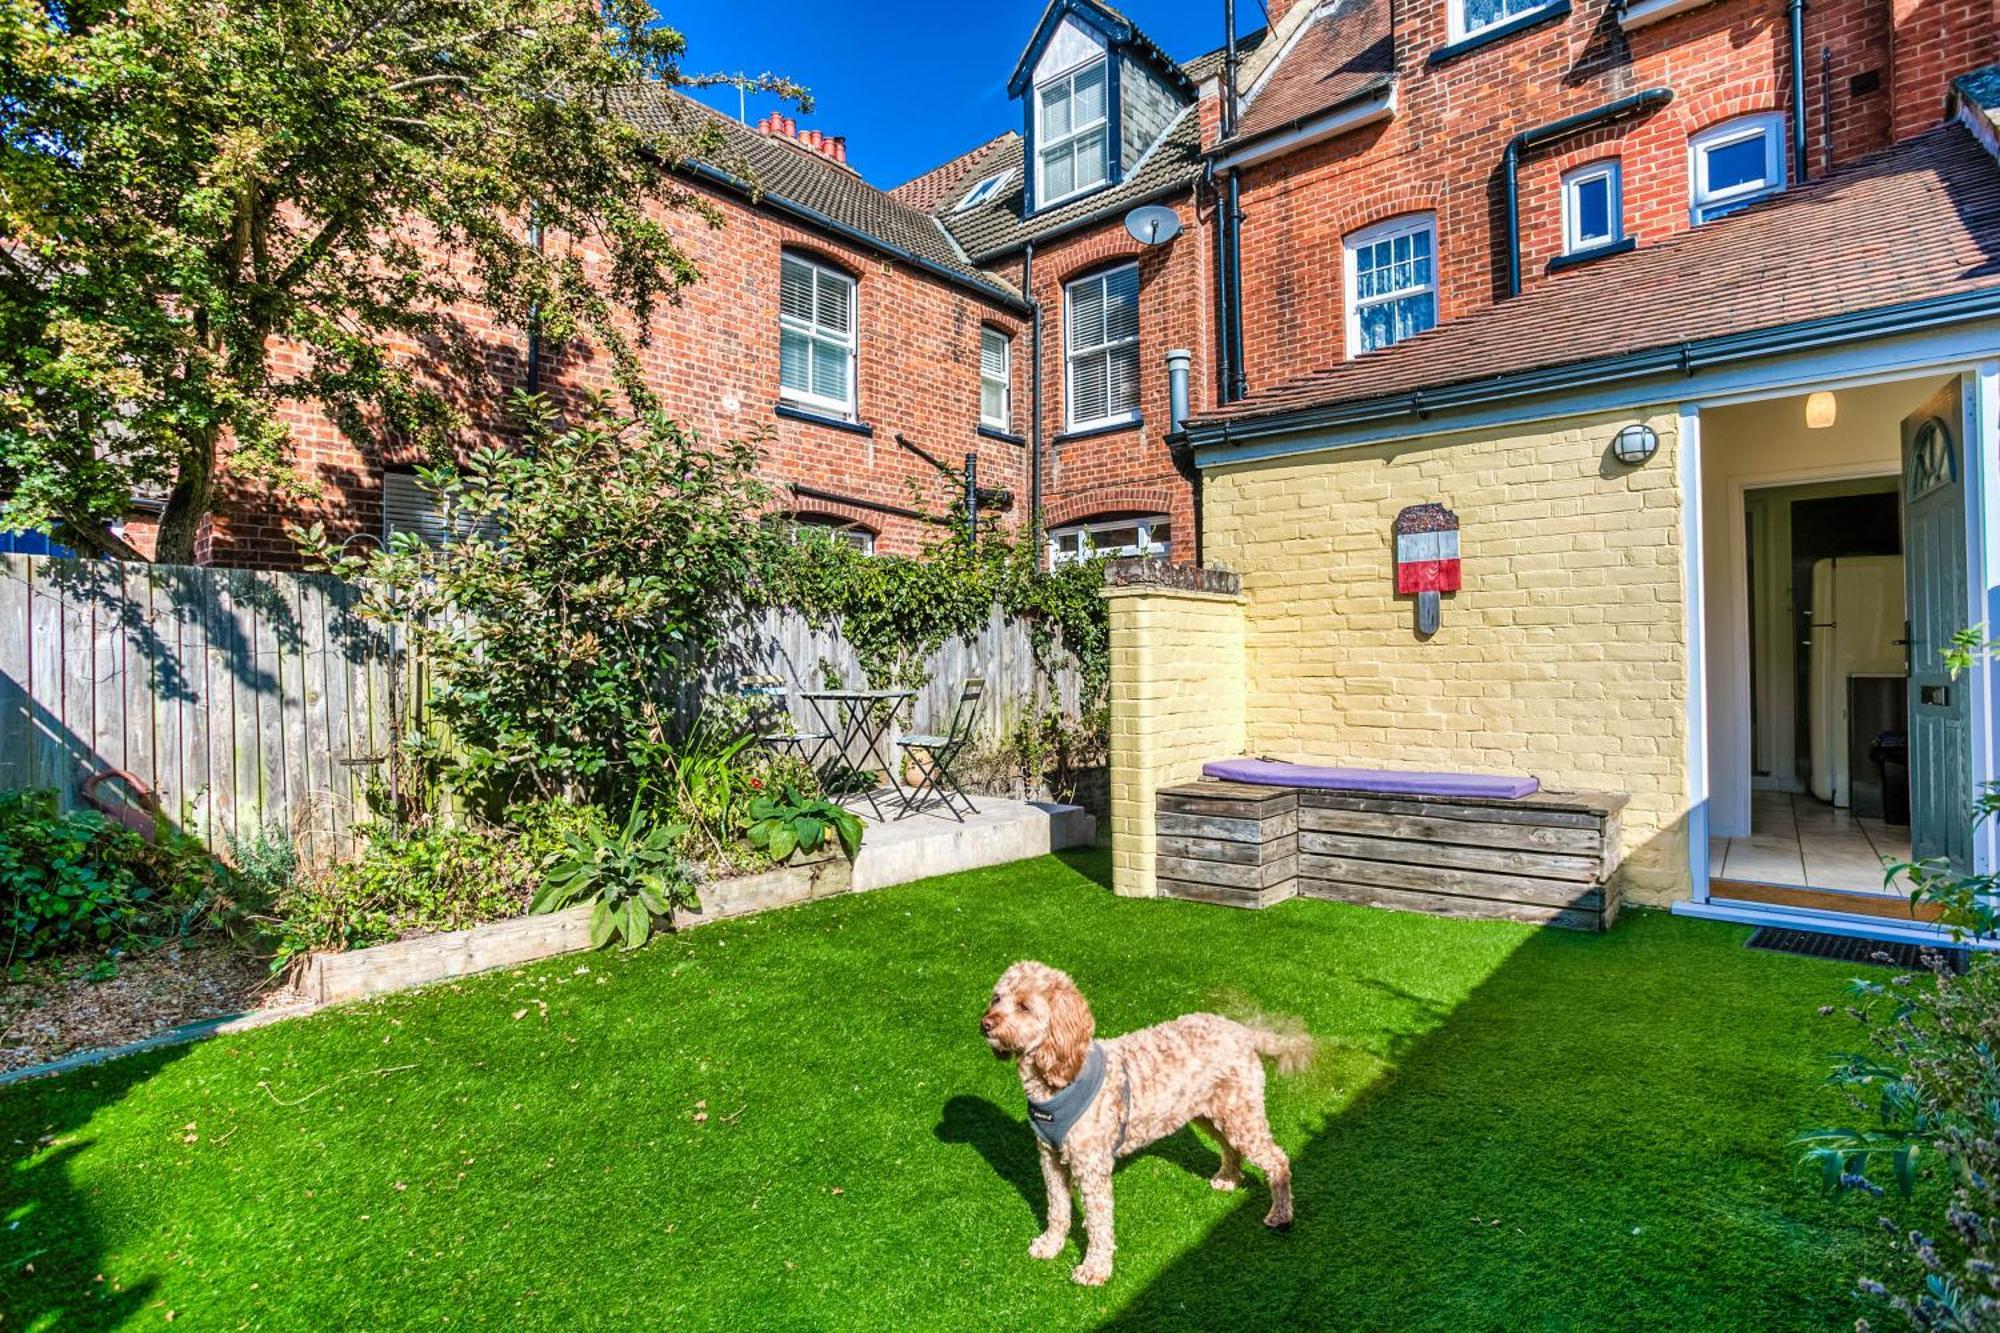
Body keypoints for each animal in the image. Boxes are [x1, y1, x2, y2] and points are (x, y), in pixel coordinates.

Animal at [976, 960, 1304, 1280]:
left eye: (1024, 1006)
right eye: (997, 998)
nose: (985, 1023)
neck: (1057, 1078)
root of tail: (1242, 1030)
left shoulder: (1091, 1166)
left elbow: (1098, 1222)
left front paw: (1095, 1269)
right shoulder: (1050, 1158)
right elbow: (1057, 1208)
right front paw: (1051, 1244)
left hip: (1240, 1113)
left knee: (1277, 1159)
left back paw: (1281, 1214)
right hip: (1213, 1111)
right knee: (1230, 1146)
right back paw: (1228, 1177)